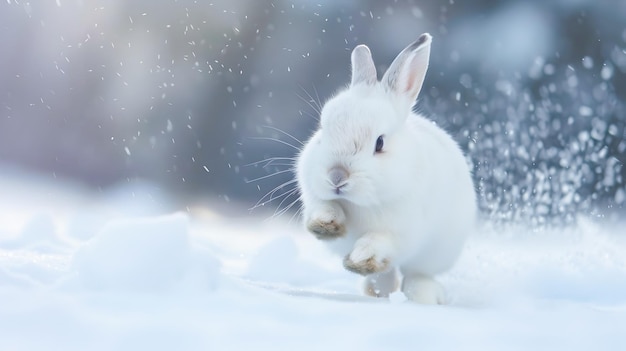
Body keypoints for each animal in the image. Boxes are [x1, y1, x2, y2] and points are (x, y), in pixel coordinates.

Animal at [294, 33, 476, 306]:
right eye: (322, 131)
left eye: (379, 143)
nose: (336, 176)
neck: (361, 203)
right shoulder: (315, 196)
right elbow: (324, 207)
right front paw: (326, 224)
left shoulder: (399, 232)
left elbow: (376, 241)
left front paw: (358, 259)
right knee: (387, 276)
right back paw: (375, 291)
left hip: (434, 254)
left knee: (414, 275)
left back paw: (426, 297)